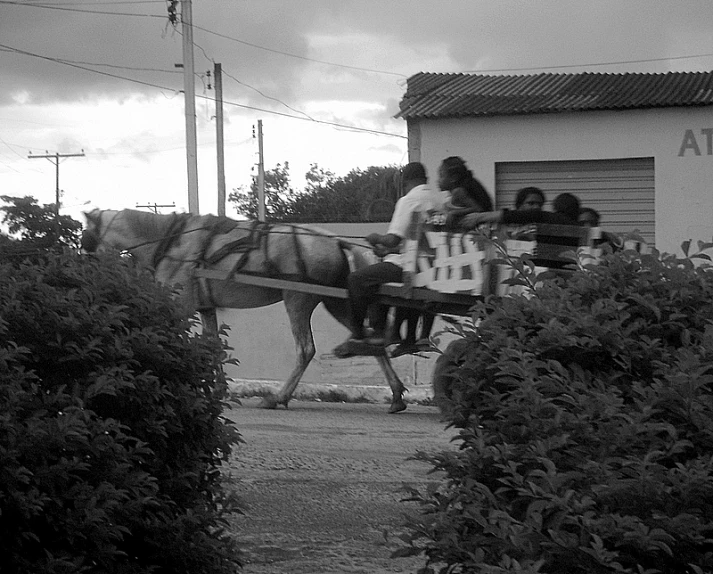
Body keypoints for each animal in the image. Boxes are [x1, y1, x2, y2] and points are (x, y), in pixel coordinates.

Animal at [80, 209, 408, 416]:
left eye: (86, 239)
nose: (89, 270)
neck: (169, 241)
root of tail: (336, 241)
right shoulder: (205, 308)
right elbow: (213, 348)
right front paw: (218, 390)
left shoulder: (180, 306)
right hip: (336, 301)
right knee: (371, 341)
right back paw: (395, 396)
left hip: (297, 299)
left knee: (306, 349)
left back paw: (278, 397)